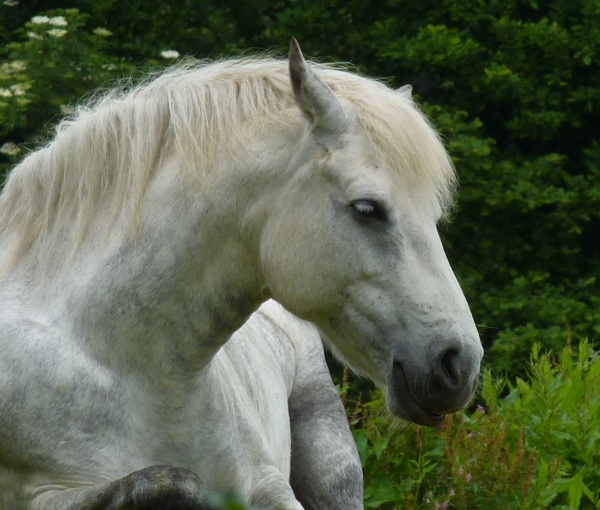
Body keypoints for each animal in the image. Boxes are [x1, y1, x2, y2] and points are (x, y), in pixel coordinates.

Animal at [0, 40, 482, 510]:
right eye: (367, 208)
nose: (459, 363)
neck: (129, 368)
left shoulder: (270, 487)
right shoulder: (48, 495)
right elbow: (168, 481)